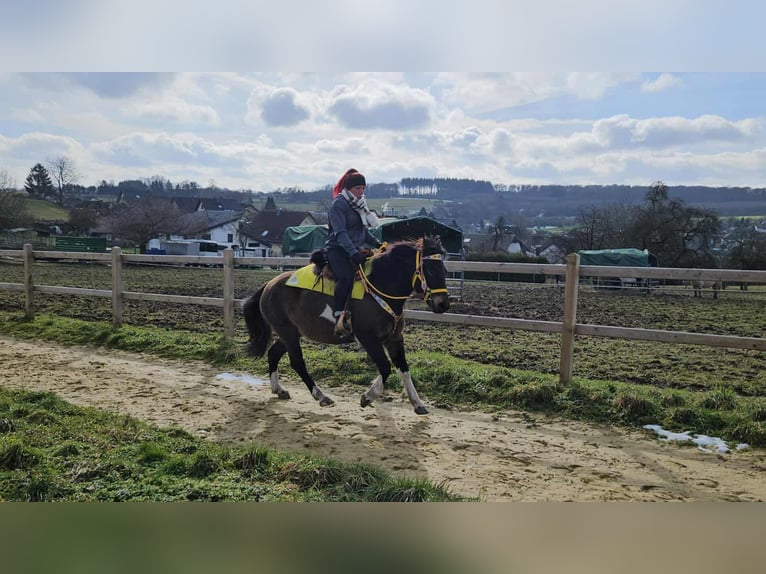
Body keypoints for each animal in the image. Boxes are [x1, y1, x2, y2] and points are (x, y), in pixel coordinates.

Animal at [242, 236, 450, 415]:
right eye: (430, 270)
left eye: (445, 270)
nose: (443, 304)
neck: (379, 288)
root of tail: (269, 285)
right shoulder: (367, 338)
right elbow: (385, 367)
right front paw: (368, 397)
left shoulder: (394, 338)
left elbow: (403, 368)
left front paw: (417, 403)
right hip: (288, 333)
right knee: (297, 362)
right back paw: (321, 396)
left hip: (291, 333)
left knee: (273, 354)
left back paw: (279, 389)